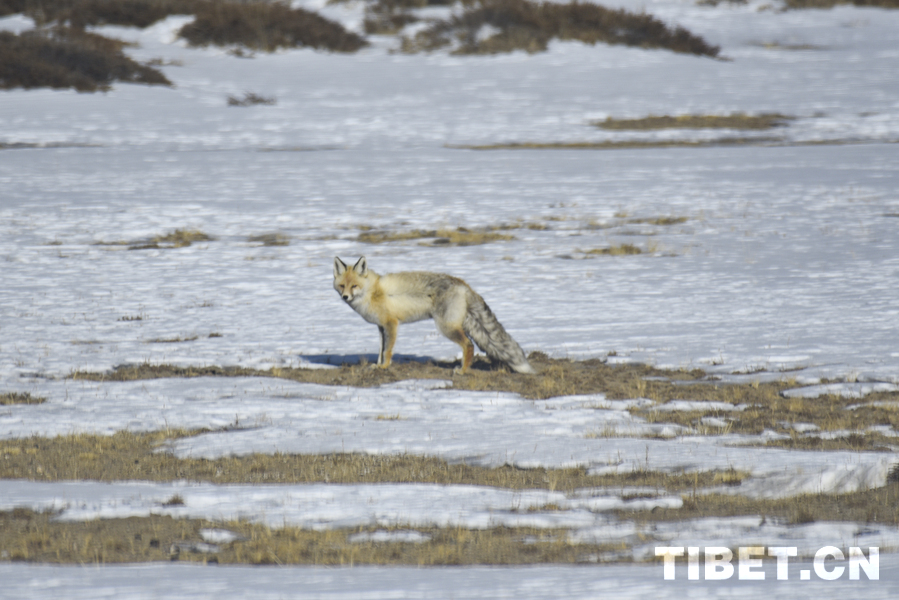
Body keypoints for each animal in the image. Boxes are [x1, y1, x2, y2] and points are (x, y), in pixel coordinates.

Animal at [333, 256, 535, 374]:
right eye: (342, 286)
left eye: (354, 286)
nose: (345, 297)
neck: (371, 292)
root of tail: (464, 285)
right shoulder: (381, 327)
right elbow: (381, 350)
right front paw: (378, 365)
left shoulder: (391, 324)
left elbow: (387, 350)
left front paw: (384, 367)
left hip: (445, 327)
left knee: (469, 345)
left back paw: (462, 370)